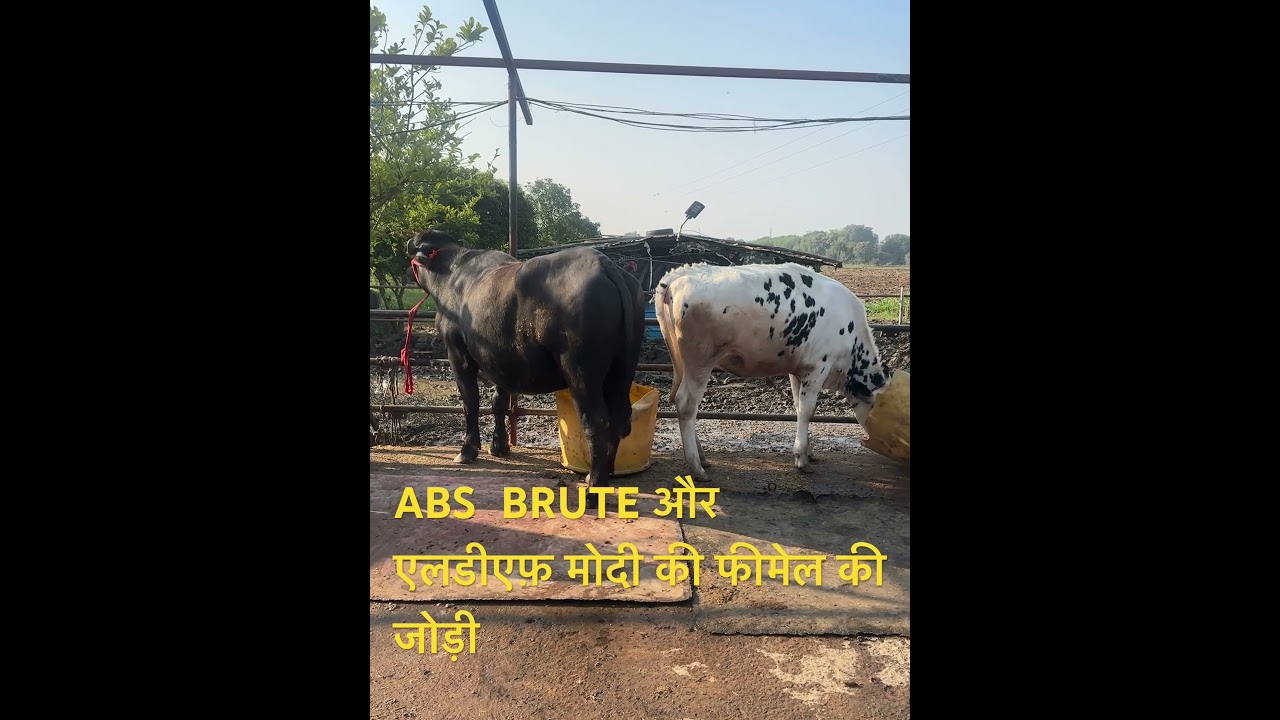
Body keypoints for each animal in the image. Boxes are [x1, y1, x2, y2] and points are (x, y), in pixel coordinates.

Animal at [406, 229, 646, 494]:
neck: (451, 276)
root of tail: (606, 265)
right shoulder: (499, 361)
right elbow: (498, 402)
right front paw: (499, 446)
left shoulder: (458, 356)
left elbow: (470, 403)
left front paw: (468, 450)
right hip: (623, 368)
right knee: (620, 417)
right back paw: (605, 473)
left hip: (581, 374)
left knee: (598, 423)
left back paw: (595, 484)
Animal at [655, 262, 891, 481]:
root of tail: (679, 275)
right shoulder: (818, 368)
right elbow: (807, 410)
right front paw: (802, 459)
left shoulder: (799, 371)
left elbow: (799, 407)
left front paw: (808, 451)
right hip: (701, 360)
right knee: (686, 404)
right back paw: (697, 467)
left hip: (682, 363)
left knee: (678, 400)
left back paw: (702, 458)